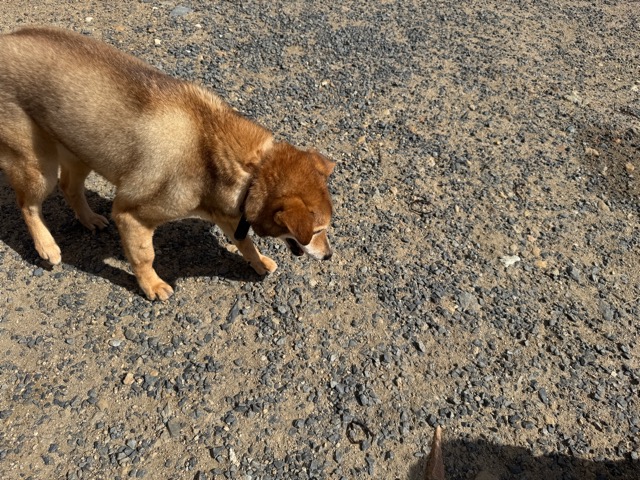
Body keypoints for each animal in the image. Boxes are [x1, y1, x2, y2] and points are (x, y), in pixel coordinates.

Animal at [0, 27, 334, 300]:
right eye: (317, 231)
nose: (329, 256)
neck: (249, 170)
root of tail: (7, 39)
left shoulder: (227, 213)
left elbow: (245, 243)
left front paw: (259, 261)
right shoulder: (132, 215)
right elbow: (144, 256)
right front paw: (151, 285)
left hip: (81, 150)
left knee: (70, 186)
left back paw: (89, 218)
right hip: (38, 167)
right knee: (28, 205)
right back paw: (46, 246)